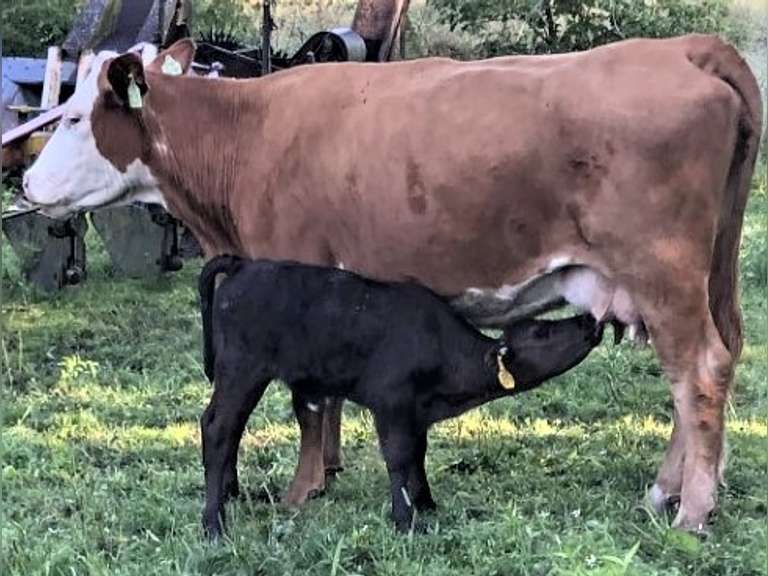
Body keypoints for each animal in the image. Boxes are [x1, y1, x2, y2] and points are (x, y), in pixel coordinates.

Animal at [197, 254, 604, 537]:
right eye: (541, 332)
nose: (589, 320)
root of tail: (243, 265)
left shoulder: (416, 413)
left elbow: (417, 455)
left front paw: (426, 503)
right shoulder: (390, 403)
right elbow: (397, 457)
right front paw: (405, 519)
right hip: (242, 370)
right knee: (219, 429)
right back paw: (214, 525)